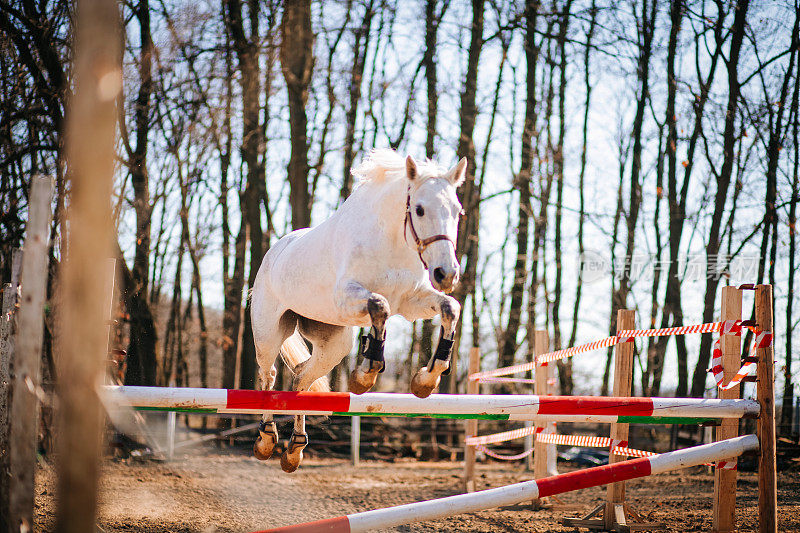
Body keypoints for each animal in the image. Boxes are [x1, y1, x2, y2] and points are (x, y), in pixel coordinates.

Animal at [248, 149, 462, 470]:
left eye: (458, 211)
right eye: (420, 209)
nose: (446, 274)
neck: (392, 241)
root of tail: (273, 253)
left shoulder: (412, 303)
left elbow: (450, 307)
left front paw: (426, 379)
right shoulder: (349, 299)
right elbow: (380, 306)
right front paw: (364, 376)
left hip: (333, 344)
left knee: (301, 377)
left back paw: (295, 449)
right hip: (269, 334)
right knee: (269, 374)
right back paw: (266, 439)